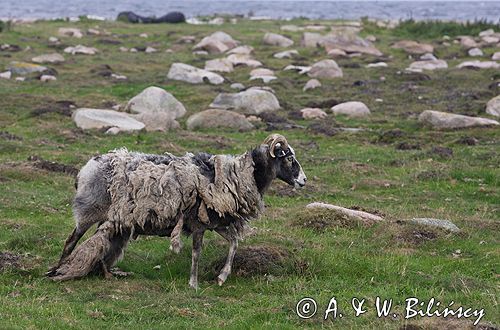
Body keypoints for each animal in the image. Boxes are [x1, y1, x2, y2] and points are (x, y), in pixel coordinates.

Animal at [47, 134, 304, 288]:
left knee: (102, 240)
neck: (240, 175)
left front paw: (222, 277)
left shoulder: (216, 223)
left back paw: (106, 274)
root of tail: (85, 168)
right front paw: (193, 283)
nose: (304, 180)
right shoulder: (199, 224)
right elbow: (197, 253)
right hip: (90, 210)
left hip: (113, 218)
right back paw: (58, 269)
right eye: (289, 158)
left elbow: (234, 243)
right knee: (72, 240)